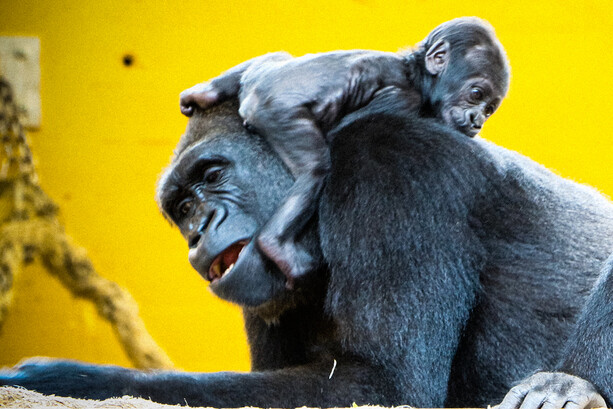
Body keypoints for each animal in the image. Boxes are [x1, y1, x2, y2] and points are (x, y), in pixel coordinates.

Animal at [1, 94, 612, 406]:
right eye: (182, 206)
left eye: (213, 174)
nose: (199, 231)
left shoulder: (390, 168)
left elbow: (382, 384)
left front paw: (66, 379)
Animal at [179, 16, 510, 286]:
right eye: (476, 94)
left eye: (489, 108)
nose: (477, 120)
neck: (413, 72)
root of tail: (251, 97)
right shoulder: (403, 99)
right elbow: (345, 132)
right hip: (276, 114)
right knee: (315, 168)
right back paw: (275, 245)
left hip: (262, 74)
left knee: (274, 58)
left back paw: (201, 93)